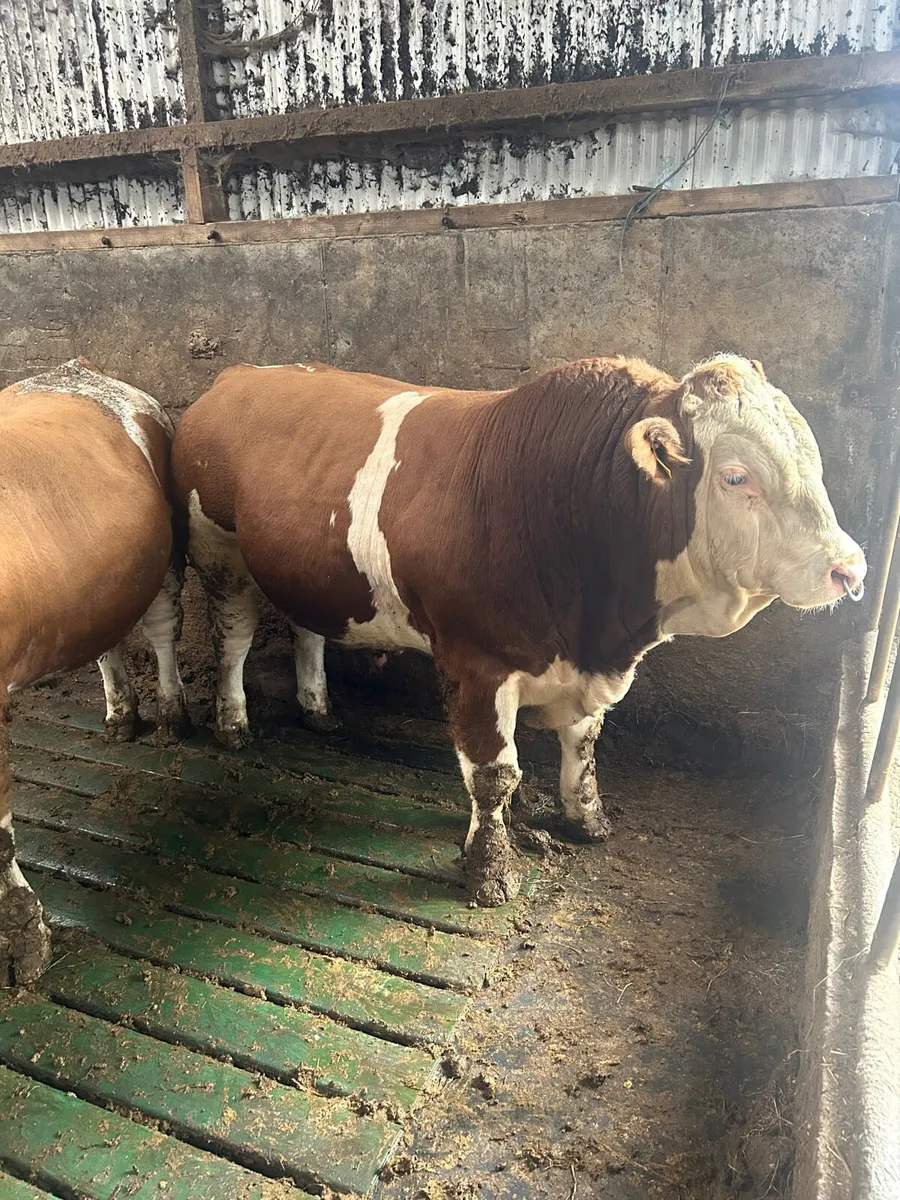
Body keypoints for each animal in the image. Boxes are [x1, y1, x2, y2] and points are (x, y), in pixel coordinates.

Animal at [0, 358, 189, 986]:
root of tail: (77, 369)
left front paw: (25, 942)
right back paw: (120, 714)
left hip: (166, 551)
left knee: (162, 627)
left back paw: (171, 714)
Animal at [171, 354, 866, 907]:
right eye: (735, 476)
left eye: (813, 462)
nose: (850, 568)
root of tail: (242, 373)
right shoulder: (476, 665)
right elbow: (494, 776)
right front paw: (490, 871)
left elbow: (582, 744)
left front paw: (584, 820)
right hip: (219, 553)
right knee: (233, 639)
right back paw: (232, 722)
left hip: (306, 572)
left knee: (308, 631)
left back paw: (317, 708)